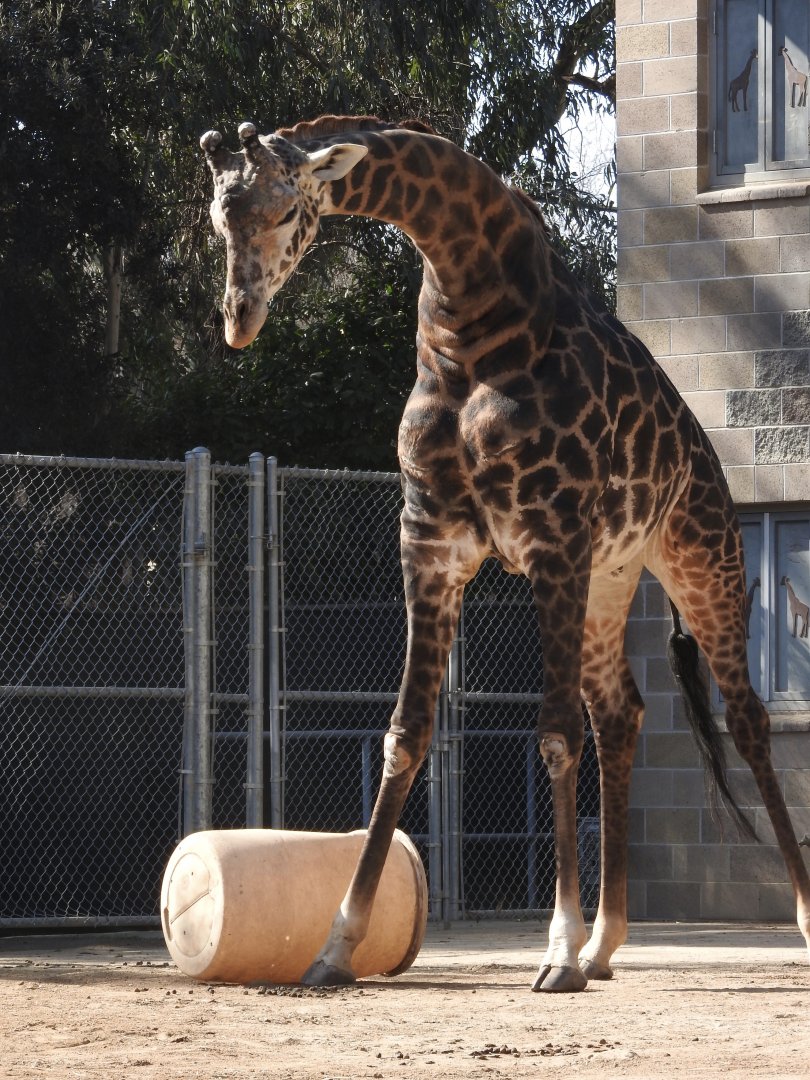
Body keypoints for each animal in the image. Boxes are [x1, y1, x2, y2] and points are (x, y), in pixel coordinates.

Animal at [200, 116, 810, 991]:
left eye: (285, 212)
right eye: (219, 220)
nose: (239, 320)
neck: (467, 322)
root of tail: (703, 453)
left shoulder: (551, 539)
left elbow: (554, 736)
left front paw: (554, 950)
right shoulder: (430, 543)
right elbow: (405, 734)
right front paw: (336, 944)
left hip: (704, 556)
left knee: (748, 717)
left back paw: (791, 918)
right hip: (609, 580)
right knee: (620, 710)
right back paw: (606, 944)